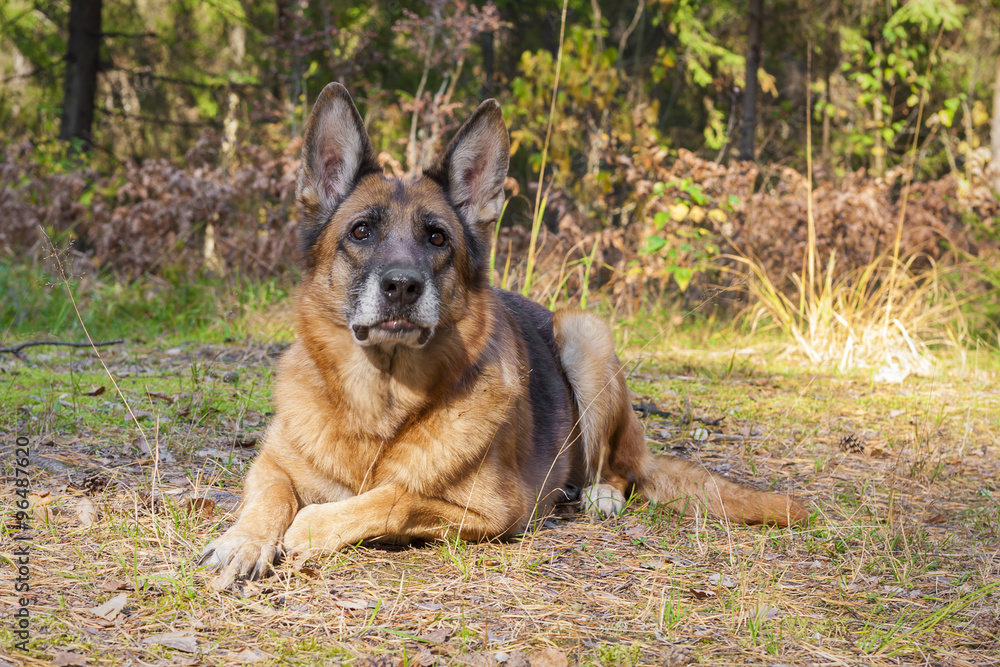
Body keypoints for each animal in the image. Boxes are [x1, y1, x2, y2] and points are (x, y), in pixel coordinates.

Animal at [199, 82, 808, 584]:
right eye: (361, 231)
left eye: (437, 238)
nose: (402, 286)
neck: (381, 403)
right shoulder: (272, 465)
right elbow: (270, 497)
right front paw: (241, 542)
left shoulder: (496, 510)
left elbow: (391, 497)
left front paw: (313, 525)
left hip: (586, 335)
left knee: (620, 468)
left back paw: (600, 494)